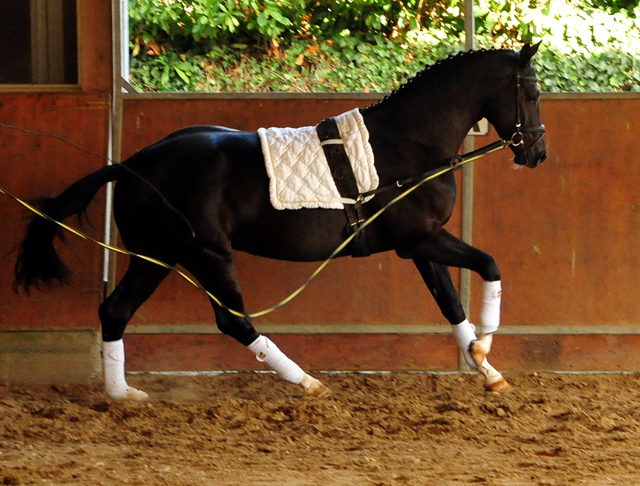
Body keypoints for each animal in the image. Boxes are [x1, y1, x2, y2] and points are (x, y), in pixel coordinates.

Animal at [13, 43, 544, 400]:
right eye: (534, 92)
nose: (537, 154)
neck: (409, 144)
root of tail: (131, 164)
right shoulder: (421, 239)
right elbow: (490, 265)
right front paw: (485, 347)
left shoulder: (420, 244)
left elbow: (450, 303)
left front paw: (487, 370)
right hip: (205, 254)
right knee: (232, 320)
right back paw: (307, 382)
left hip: (157, 256)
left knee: (115, 312)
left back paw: (122, 395)